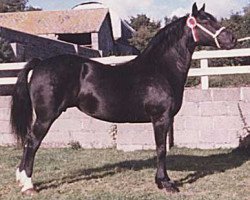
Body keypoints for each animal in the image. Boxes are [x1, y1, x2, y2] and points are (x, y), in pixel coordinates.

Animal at [10, 3, 236, 195]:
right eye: (205, 21)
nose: (232, 39)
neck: (160, 69)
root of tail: (41, 63)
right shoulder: (161, 118)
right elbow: (161, 149)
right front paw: (165, 183)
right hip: (46, 117)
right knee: (32, 142)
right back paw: (28, 185)